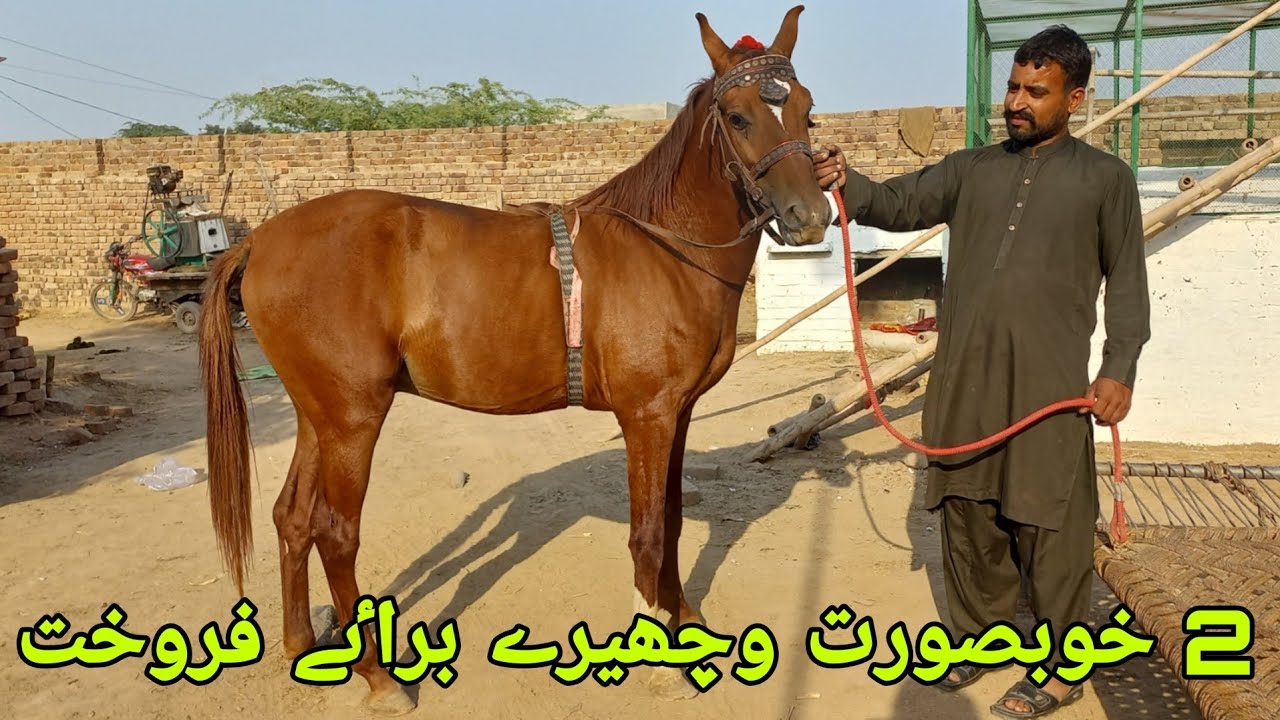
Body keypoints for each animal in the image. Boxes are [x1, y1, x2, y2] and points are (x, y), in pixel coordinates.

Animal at [198, 5, 832, 713]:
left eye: (806, 109)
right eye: (739, 116)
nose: (810, 217)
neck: (663, 247)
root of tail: (259, 238)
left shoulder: (679, 413)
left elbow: (670, 521)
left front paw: (683, 620)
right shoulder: (647, 416)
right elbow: (646, 531)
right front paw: (659, 659)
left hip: (319, 415)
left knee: (292, 518)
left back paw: (301, 644)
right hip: (353, 419)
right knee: (335, 532)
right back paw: (378, 676)